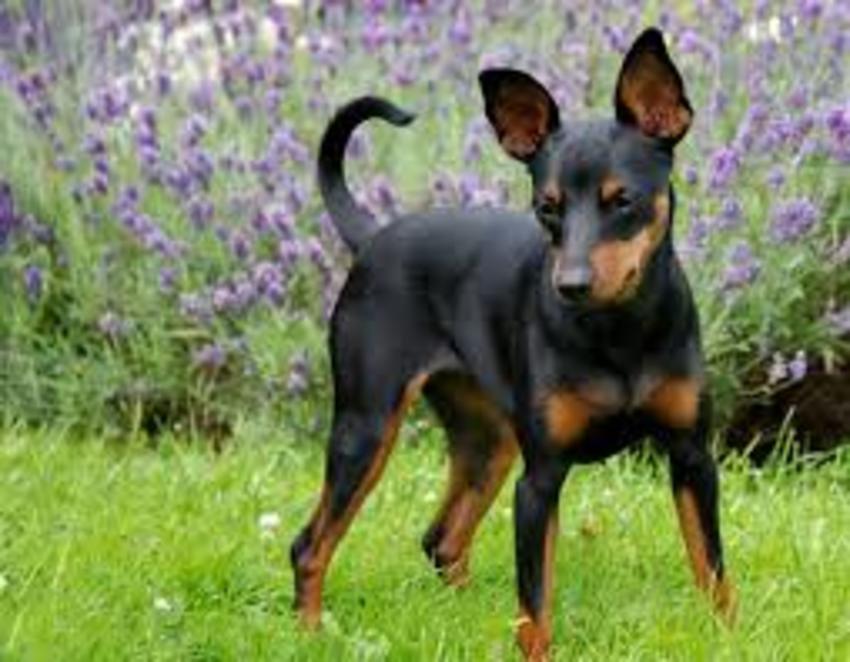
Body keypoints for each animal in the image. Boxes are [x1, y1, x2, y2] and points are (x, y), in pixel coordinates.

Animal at [290, 28, 735, 660]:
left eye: (622, 200)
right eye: (547, 208)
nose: (571, 284)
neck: (618, 333)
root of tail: (373, 237)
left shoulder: (693, 457)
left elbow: (713, 571)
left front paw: (728, 639)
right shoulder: (539, 480)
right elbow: (535, 604)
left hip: (487, 440)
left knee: (442, 540)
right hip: (367, 426)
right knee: (311, 546)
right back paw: (308, 633)